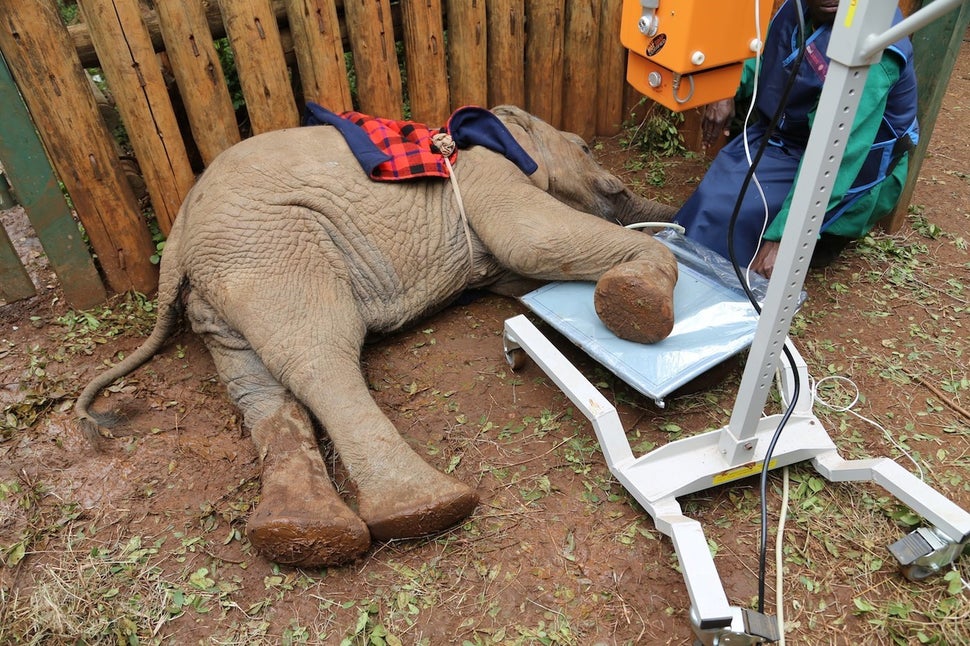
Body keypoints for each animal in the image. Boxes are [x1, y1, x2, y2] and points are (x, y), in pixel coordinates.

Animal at [75, 105, 680, 568]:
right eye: (585, 147)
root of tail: (176, 240)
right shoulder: (486, 174)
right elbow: (533, 240)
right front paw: (637, 301)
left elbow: (523, 269)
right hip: (270, 243)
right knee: (321, 354)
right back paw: (425, 511)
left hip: (224, 277)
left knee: (257, 383)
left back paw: (300, 535)